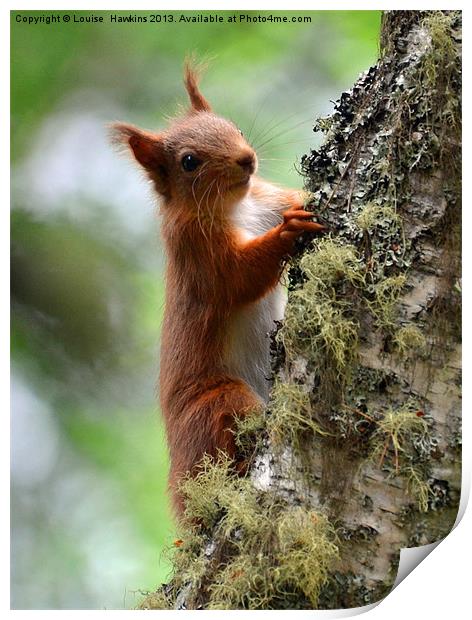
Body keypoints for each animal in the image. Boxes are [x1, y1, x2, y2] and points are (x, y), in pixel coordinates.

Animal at [112, 64, 322, 520]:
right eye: (189, 161)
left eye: (235, 127)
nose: (247, 159)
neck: (237, 206)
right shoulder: (196, 250)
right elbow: (236, 279)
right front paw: (288, 232)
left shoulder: (268, 197)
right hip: (218, 401)